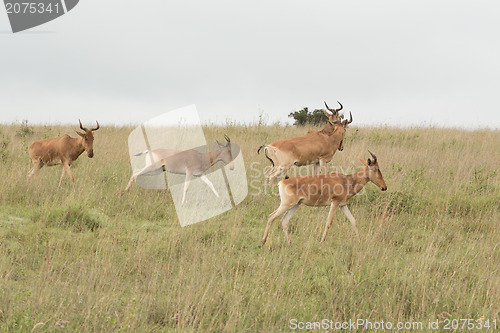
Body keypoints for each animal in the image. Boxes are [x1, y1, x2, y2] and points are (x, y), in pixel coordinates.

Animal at [260, 150, 388, 244]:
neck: (346, 180)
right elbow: (329, 222)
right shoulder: (335, 203)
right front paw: (322, 242)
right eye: (376, 168)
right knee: (271, 217)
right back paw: (263, 242)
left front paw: (360, 241)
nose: (384, 187)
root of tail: (282, 182)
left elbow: (353, 221)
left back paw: (289, 243)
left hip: (295, 205)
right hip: (286, 204)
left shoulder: (342, 205)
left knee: (284, 221)